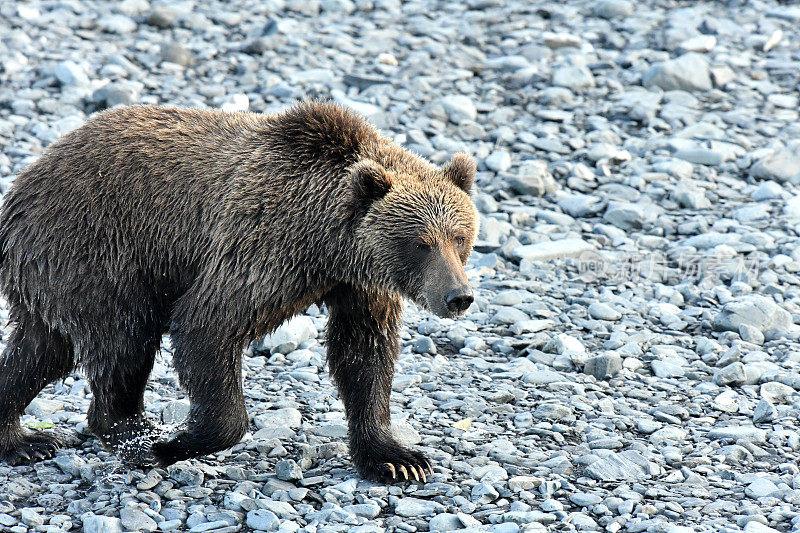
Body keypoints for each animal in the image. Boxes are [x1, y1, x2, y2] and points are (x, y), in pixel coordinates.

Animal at [0, 100, 476, 482]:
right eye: (420, 242)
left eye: (459, 237)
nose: (458, 296)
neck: (328, 245)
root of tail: (26, 180)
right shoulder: (261, 245)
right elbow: (207, 324)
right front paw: (178, 442)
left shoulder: (361, 284)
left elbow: (364, 354)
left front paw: (397, 459)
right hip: (97, 250)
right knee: (123, 339)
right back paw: (138, 436)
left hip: (54, 271)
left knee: (40, 350)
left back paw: (21, 441)